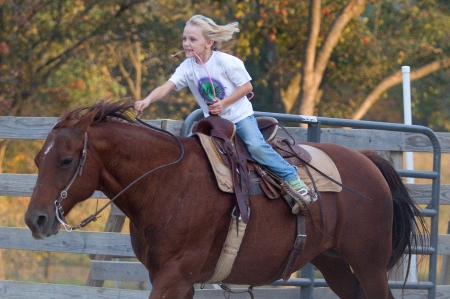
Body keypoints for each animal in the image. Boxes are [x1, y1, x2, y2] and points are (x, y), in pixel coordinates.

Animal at [25, 100, 428, 298]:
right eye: (37, 160)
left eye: (65, 160)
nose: (35, 219)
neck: (167, 182)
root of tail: (368, 162)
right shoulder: (176, 281)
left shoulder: (173, 277)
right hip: (334, 263)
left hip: (370, 264)